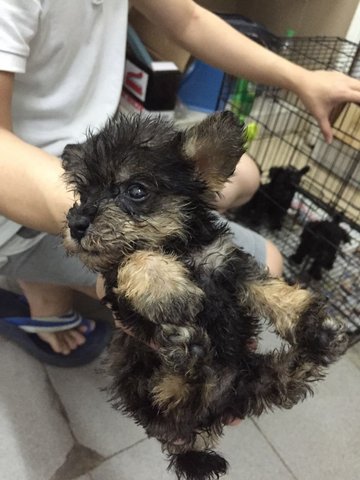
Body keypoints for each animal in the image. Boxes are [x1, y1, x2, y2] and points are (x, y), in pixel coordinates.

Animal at [61, 113, 346, 480]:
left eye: (136, 190)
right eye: (82, 194)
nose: (77, 224)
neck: (180, 248)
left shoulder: (226, 262)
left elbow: (266, 288)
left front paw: (306, 316)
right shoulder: (115, 287)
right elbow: (131, 256)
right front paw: (168, 288)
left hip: (252, 377)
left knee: (285, 377)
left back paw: (319, 341)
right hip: (148, 388)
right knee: (178, 389)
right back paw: (188, 348)